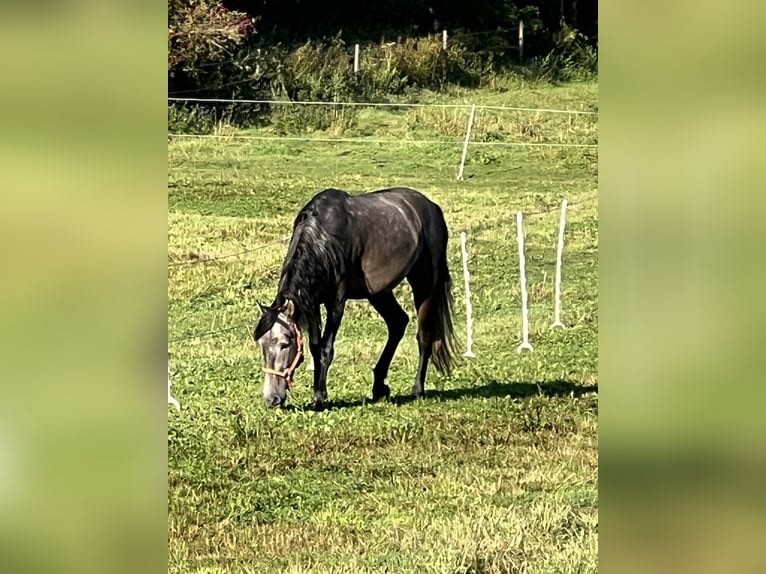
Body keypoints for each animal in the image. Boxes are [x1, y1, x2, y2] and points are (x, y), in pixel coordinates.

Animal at [253, 187, 458, 410]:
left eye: (284, 343)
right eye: (261, 344)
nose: (271, 398)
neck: (322, 238)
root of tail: (432, 207)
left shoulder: (336, 301)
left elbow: (326, 349)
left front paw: (320, 398)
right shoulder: (312, 302)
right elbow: (315, 348)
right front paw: (317, 393)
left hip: (425, 284)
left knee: (424, 336)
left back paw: (417, 389)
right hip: (379, 293)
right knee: (398, 323)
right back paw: (379, 387)